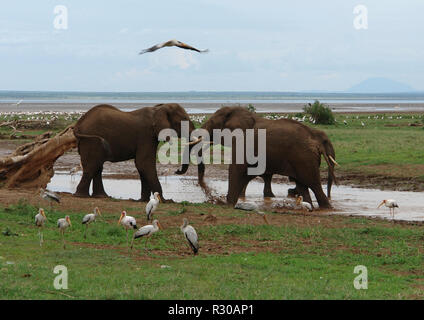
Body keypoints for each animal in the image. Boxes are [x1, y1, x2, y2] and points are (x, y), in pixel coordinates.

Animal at [177, 106, 336, 209]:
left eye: (213, 124)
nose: (177, 171)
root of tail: (315, 142)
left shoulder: (243, 141)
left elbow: (236, 169)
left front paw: (228, 204)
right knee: (303, 185)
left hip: (303, 158)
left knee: (313, 183)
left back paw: (326, 207)